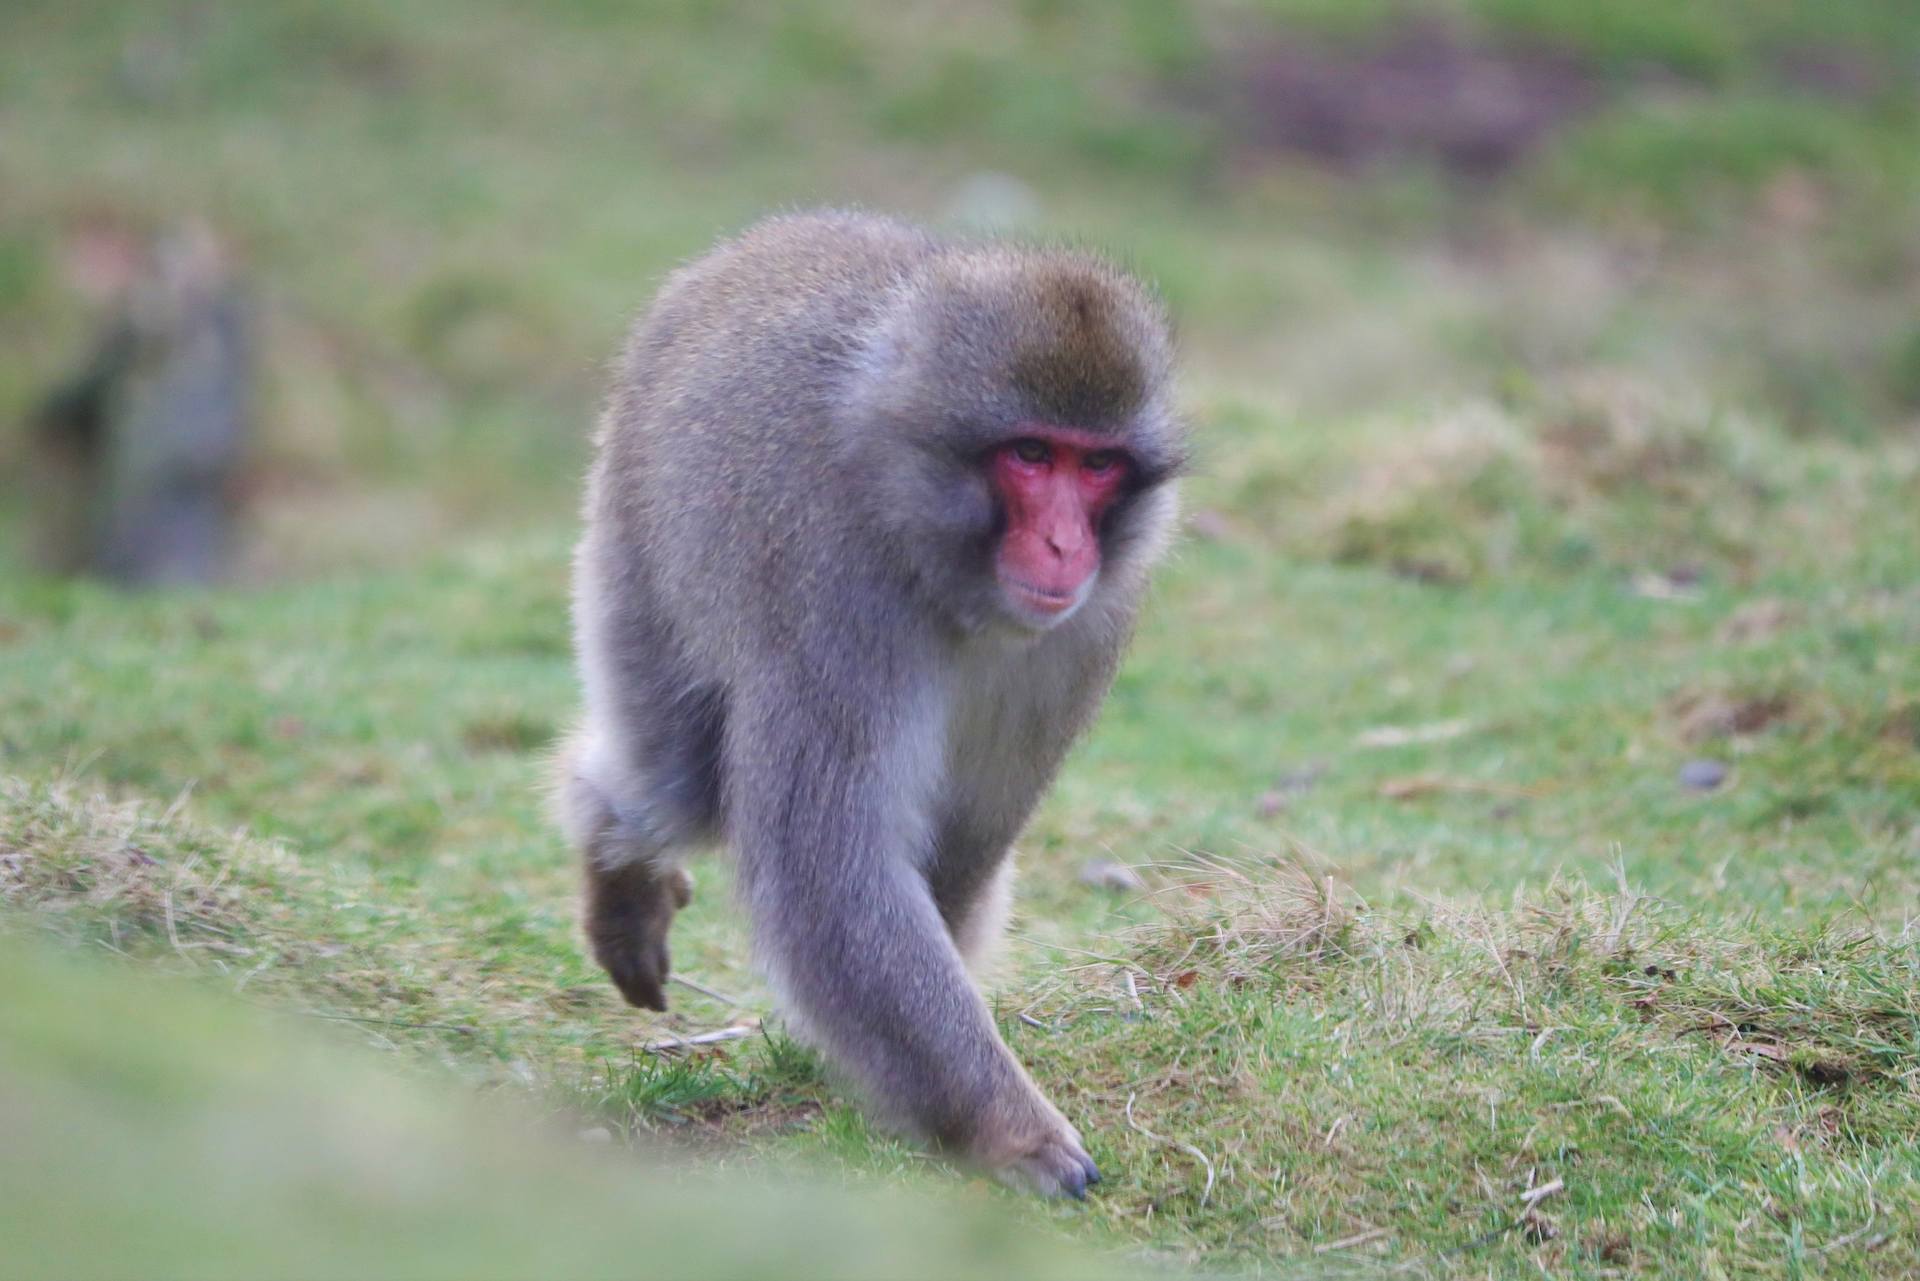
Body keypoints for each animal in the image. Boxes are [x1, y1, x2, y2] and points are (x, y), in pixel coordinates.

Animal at [555, 209, 1184, 1197]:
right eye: (1031, 455)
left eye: (1098, 467)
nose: (1062, 545)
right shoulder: (837, 594)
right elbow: (828, 865)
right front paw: (1008, 1129)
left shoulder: (1086, 629)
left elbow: (965, 836)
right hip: (635, 526)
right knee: (673, 777)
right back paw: (616, 855)